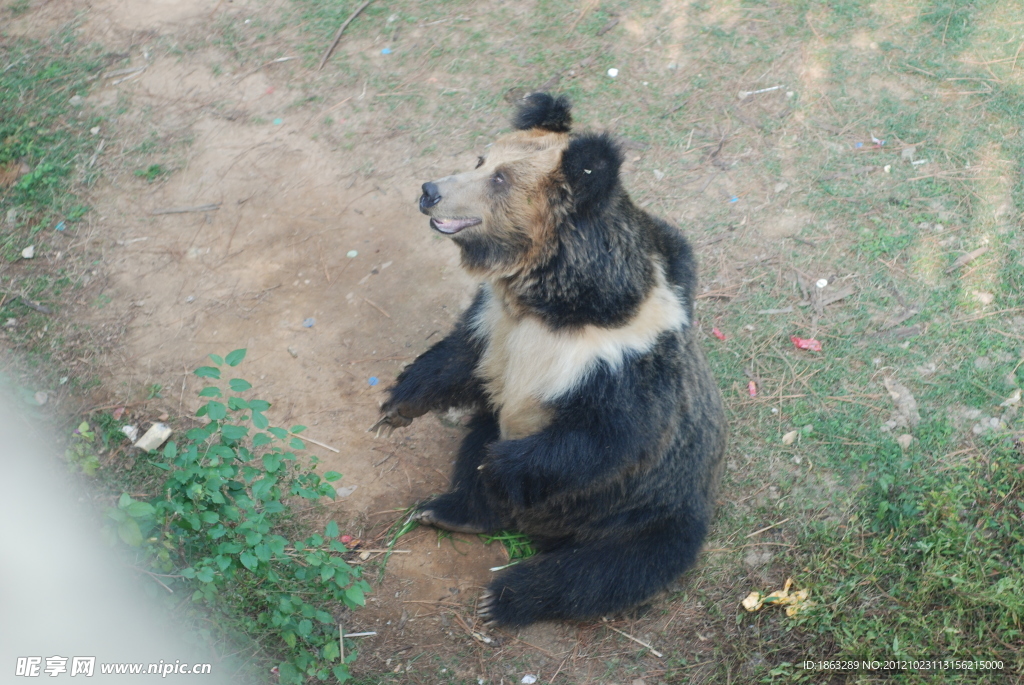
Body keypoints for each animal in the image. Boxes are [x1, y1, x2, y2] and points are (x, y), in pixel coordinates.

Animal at [376, 93, 729, 626]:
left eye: (500, 179)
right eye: (482, 160)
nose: (430, 190)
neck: (554, 304)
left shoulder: (622, 363)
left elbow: (602, 439)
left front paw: (497, 464)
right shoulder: (497, 324)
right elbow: (458, 356)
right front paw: (397, 406)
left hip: (651, 514)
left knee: (605, 571)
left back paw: (503, 597)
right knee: (477, 446)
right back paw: (448, 511)